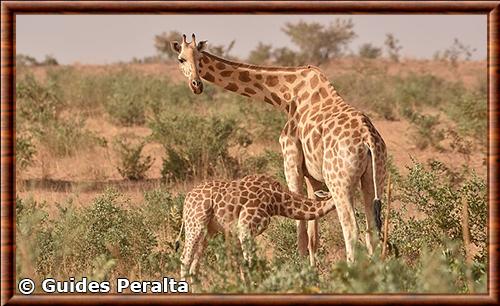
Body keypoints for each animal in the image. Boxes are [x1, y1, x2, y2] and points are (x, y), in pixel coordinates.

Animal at [172, 32, 386, 262]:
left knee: (351, 230)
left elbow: (300, 230)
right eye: (181, 59)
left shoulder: (290, 160)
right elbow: (313, 234)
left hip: (339, 181)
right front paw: (312, 267)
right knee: (372, 230)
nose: (196, 85)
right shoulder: (313, 176)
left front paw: (300, 266)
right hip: (374, 178)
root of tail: (368, 139)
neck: (286, 96)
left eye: (199, 59)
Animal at [176, 173, 336, 278]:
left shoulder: (242, 232)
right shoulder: (246, 228)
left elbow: (243, 264)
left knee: (194, 266)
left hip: (208, 231)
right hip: (195, 224)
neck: (277, 201)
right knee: (185, 259)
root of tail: (186, 199)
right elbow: (248, 263)